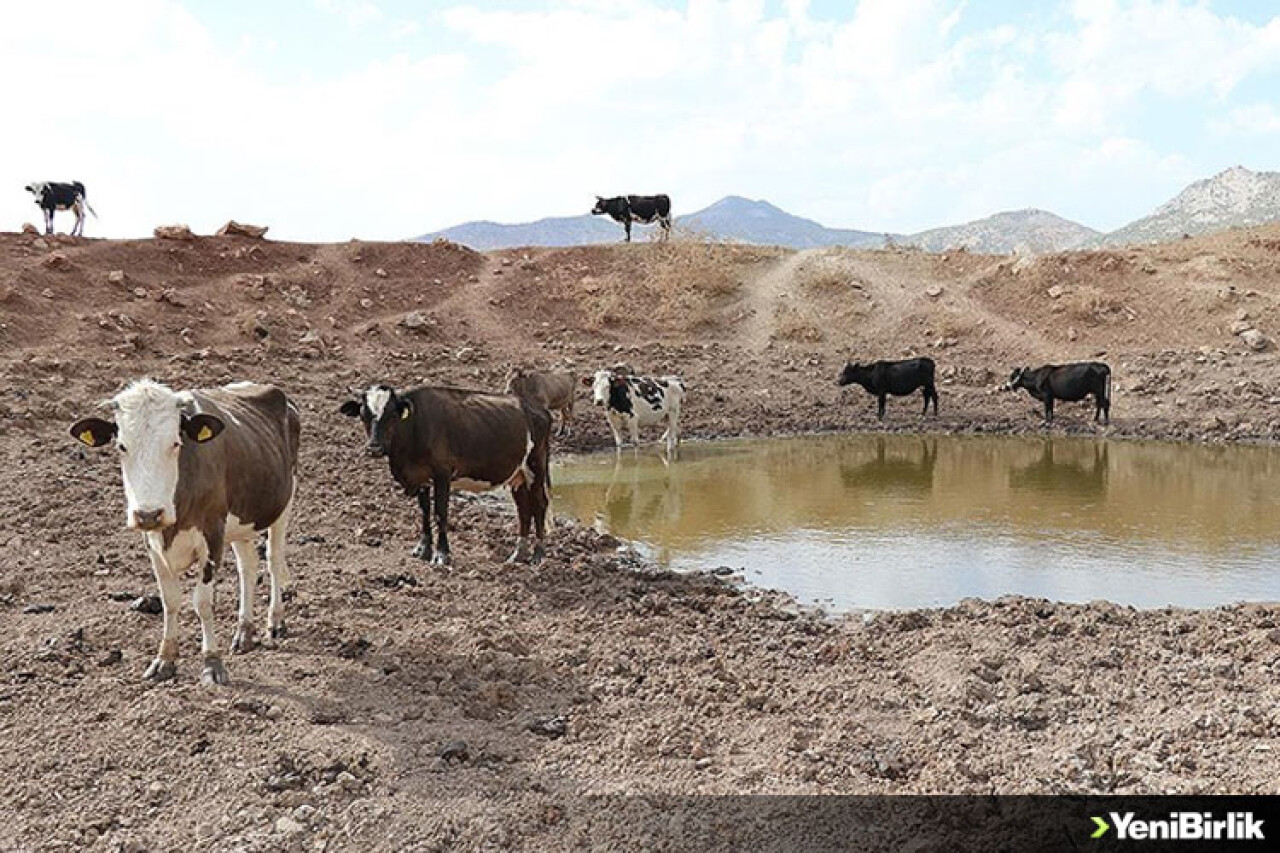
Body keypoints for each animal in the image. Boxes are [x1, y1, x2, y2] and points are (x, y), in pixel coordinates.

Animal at [70, 379, 299, 686]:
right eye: (121, 446)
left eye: (175, 443)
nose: (148, 514)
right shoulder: (153, 543)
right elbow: (170, 601)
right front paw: (164, 660)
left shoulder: (212, 535)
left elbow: (202, 602)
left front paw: (212, 663)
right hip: (241, 522)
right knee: (247, 567)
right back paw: (244, 632)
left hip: (283, 502)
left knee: (273, 559)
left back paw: (275, 621)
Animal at [340, 381, 555, 560]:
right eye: (363, 415)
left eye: (392, 415)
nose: (374, 448)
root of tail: (538, 409)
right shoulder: (421, 477)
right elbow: (425, 511)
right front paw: (423, 549)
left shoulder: (442, 474)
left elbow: (440, 512)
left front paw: (442, 554)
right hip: (518, 475)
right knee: (523, 509)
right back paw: (518, 554)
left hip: (536, 466)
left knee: (539, 505)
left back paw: (538, 555)